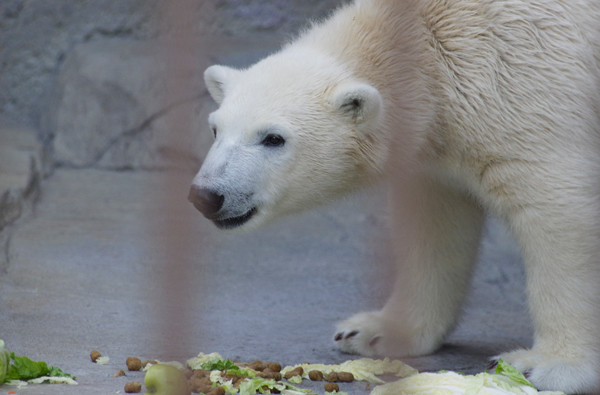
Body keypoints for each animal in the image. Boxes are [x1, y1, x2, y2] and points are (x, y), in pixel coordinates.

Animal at [189, 0, 600, 392]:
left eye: (274, 138)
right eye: (215, 128)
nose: (206, 195)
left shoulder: (529, 91)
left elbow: (557, 213)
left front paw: (548, 366)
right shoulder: (443, 139)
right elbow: (435, 226)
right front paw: (373, 332)